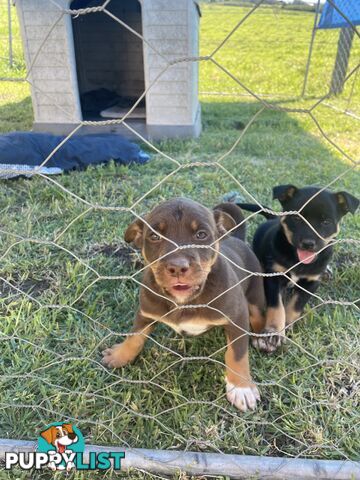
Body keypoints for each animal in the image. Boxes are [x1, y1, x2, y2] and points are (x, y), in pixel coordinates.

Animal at [101, 199, 264, 412]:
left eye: (201, 235)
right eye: (154, 236)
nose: (177, 267)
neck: (185, 301)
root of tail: (236, 238)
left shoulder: (237, 317)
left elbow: (237, 353)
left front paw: (241, 387)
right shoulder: (146, 311)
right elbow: (135, 336)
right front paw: (120, 355)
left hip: (256, 293)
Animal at [238, 185, 358, 352]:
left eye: (326, 222)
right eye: (296, 218)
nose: (308, 243)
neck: (298, 260)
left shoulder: (311, 282)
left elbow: (296, 305)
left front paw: (287, 325)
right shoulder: (274, 276)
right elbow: (277, 307)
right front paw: (272, 334)